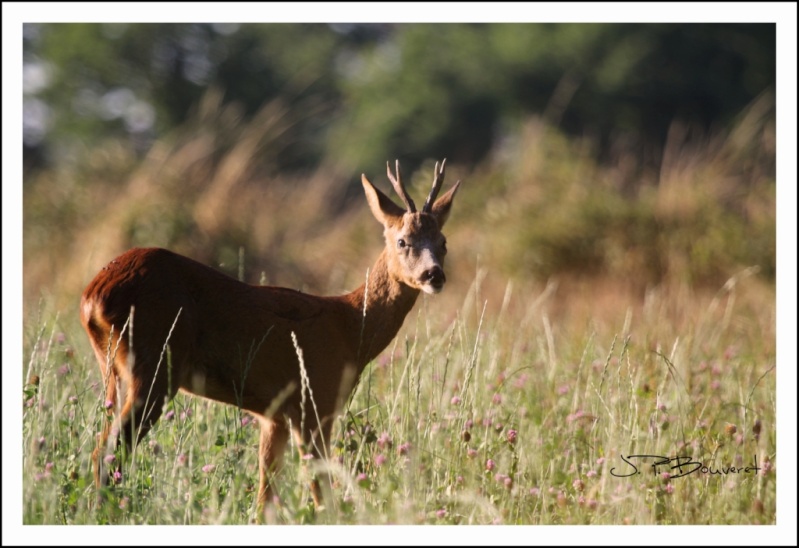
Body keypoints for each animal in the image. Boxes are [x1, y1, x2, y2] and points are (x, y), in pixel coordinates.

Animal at [79, 158, 462, 510]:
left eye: (443, 242)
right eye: (402, 241)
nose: (434, 275)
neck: (351, 328)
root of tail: (93, 295)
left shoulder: (275, 414)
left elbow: (265, 499)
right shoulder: (314, 400)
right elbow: (321, 492)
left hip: (115, 370)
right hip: (154, 362)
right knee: (109, 451)